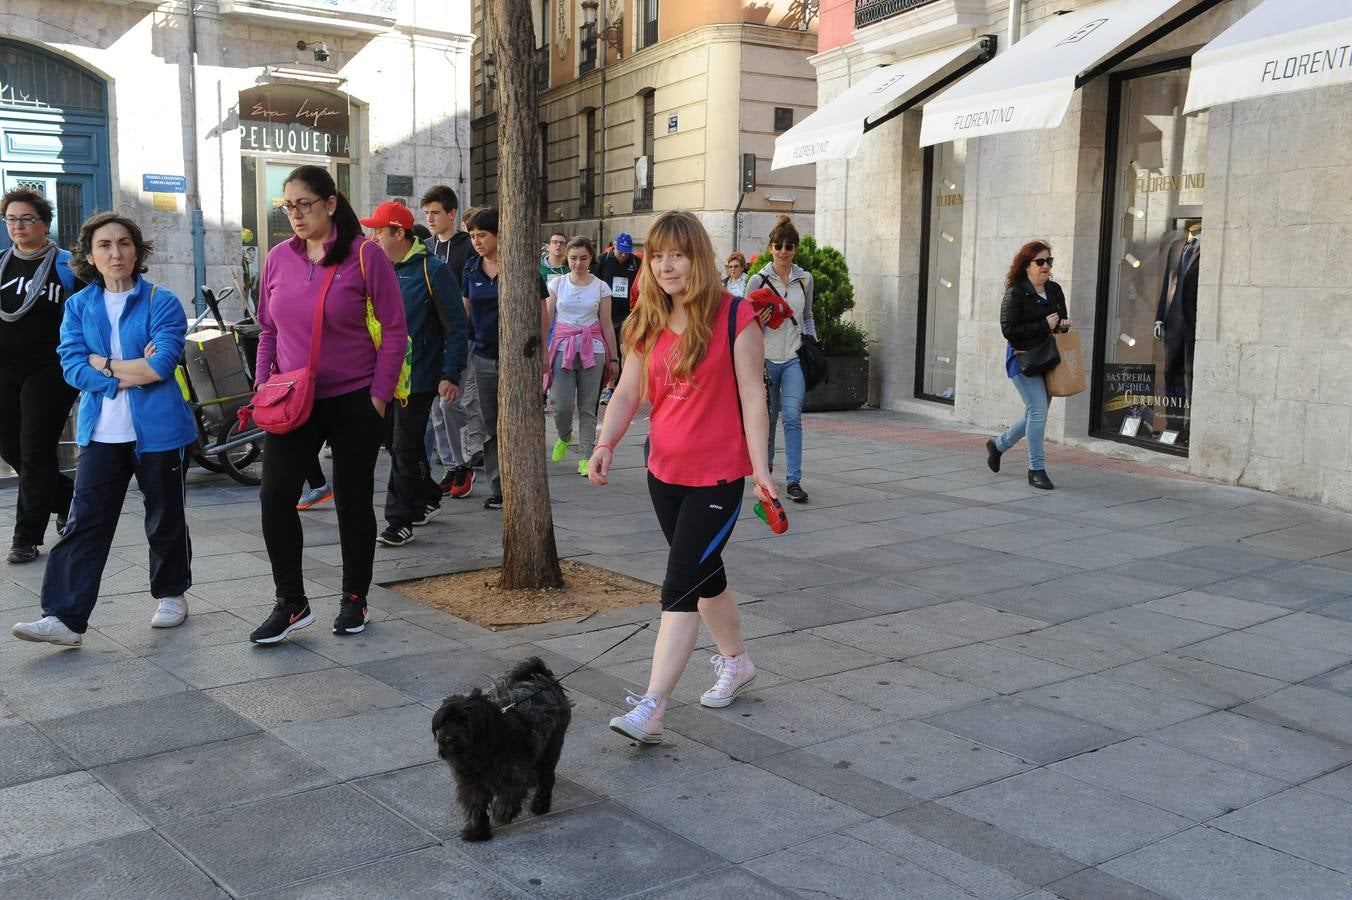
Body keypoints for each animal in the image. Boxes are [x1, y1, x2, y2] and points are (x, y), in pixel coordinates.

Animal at [432, 651, 570, 843]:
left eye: (465, 723)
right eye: (445, 721)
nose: (447, 739)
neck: (480, 752)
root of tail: (542, 677)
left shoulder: (514, 771)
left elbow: (510, 791)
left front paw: (502, 812)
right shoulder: (470, 782)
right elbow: (476, 805)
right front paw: (477, 830)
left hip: (550, 749)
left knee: (547, 778)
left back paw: (541, 804)